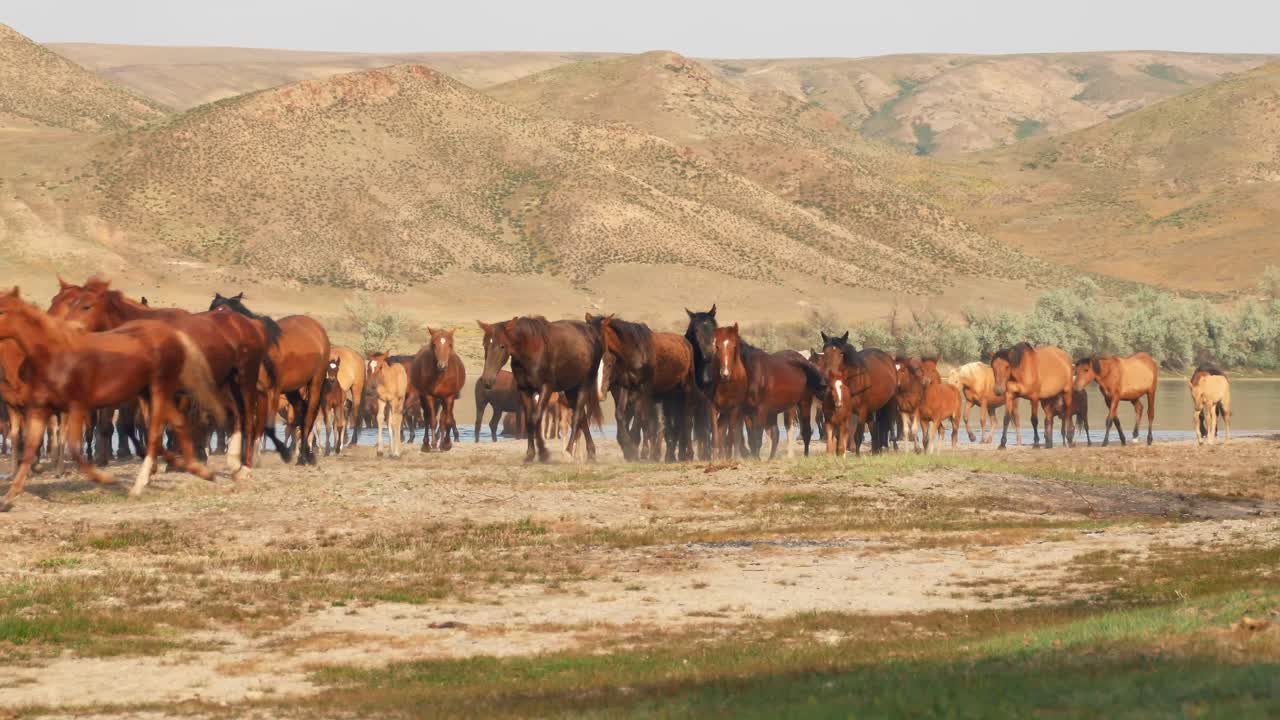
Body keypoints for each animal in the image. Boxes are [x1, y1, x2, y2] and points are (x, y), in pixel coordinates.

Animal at [0, 288, 226, 509]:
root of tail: (174, 336)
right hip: (151, 394)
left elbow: (75, 447)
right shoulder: (40, 409)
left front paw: (104, 478)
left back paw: (142, 483)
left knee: (156, 431)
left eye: (2, 311)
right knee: (174, 423)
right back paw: (194, 468)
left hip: (158, 391)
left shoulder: (77, 407)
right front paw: (9, 497)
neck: (54, 354)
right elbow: (30, 448)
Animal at [209, 293, 330, 466]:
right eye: (210, 309)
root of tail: (317, 328)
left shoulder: (272, 392)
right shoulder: (253, 393)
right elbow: (250, 424)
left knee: (308, 417)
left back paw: (302, 457)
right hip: (292, 389)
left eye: (222, 312)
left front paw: (283, 453)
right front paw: (247, 458)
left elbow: (266, 426)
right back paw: (308, 455)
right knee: (301, 410)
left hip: (315, 383)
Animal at [478, 317, 603, 463]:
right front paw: (531, 454)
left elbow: (535, 418)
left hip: (584, 385)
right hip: (570, 389)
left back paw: (568, 452)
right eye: (485, 345)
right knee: (582, 417)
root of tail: (592, 333)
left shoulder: (546, 388)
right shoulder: (525, 390)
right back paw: (591, 452)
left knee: (577, 417)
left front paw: (543, 452)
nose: (487, 380)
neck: (531, 351)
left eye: (502, 346)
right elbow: (529, 421)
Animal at [714, 324, 823, 460]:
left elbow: (757, 437)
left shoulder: (760, 410)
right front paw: (755, 457)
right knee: (776, 433)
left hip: (803, 403)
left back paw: (805, 455)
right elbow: (751, 437)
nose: (724, 373)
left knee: (806, 431)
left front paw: (756, 458)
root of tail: (804, 360)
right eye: (717, 346)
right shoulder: (746, 411)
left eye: (734, 347)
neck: (753, 374)